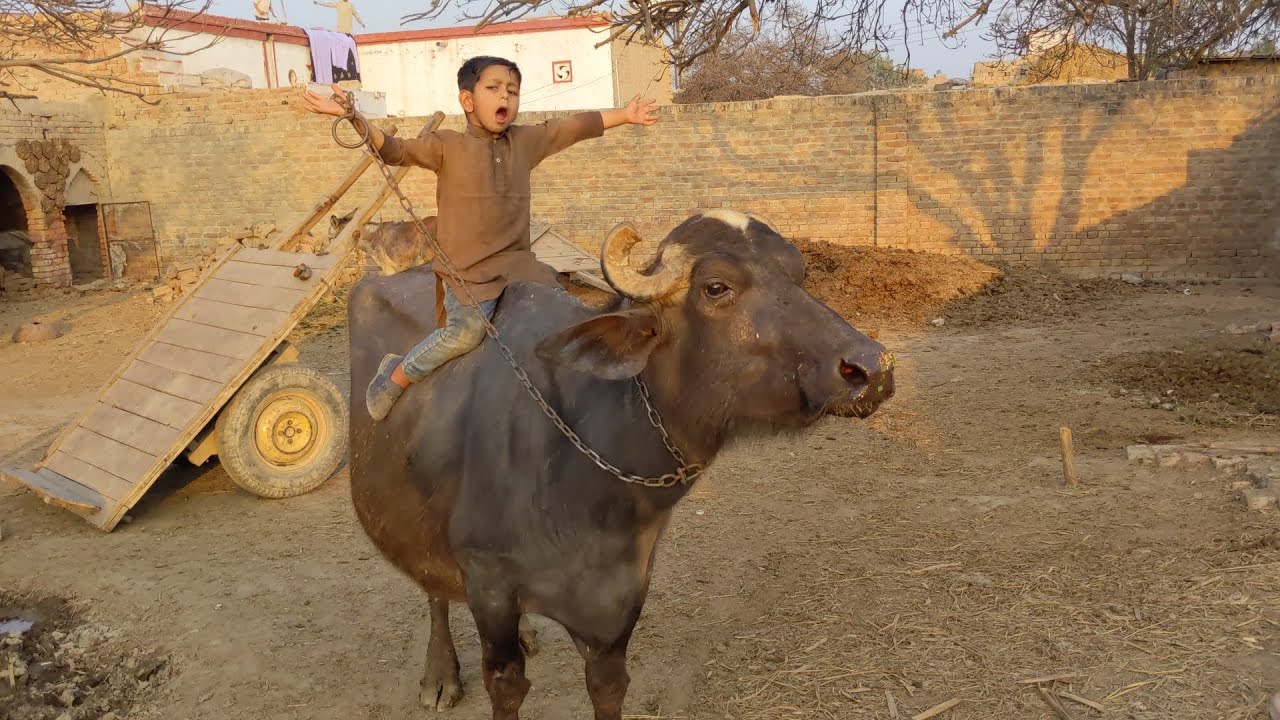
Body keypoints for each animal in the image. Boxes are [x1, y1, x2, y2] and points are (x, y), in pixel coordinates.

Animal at [346, 210, 895, 720]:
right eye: (716, 287)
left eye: (799, 273)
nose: (872, 367)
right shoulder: (489, 585)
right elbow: (506, 686)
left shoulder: (618, 604)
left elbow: (608, 687)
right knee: (432, 586)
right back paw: (439, 675)